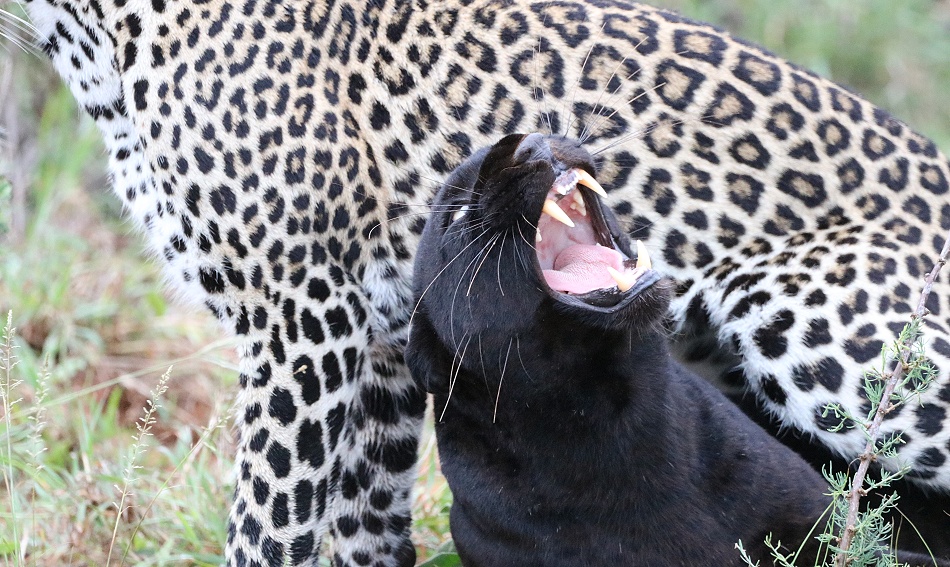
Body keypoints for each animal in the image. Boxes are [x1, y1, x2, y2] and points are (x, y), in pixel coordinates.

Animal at [22, 0, 950, 565]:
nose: (533, 137)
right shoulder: (379, 343)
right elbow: (362, 524)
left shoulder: (299, 314)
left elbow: (268, 525)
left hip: (805, 319)